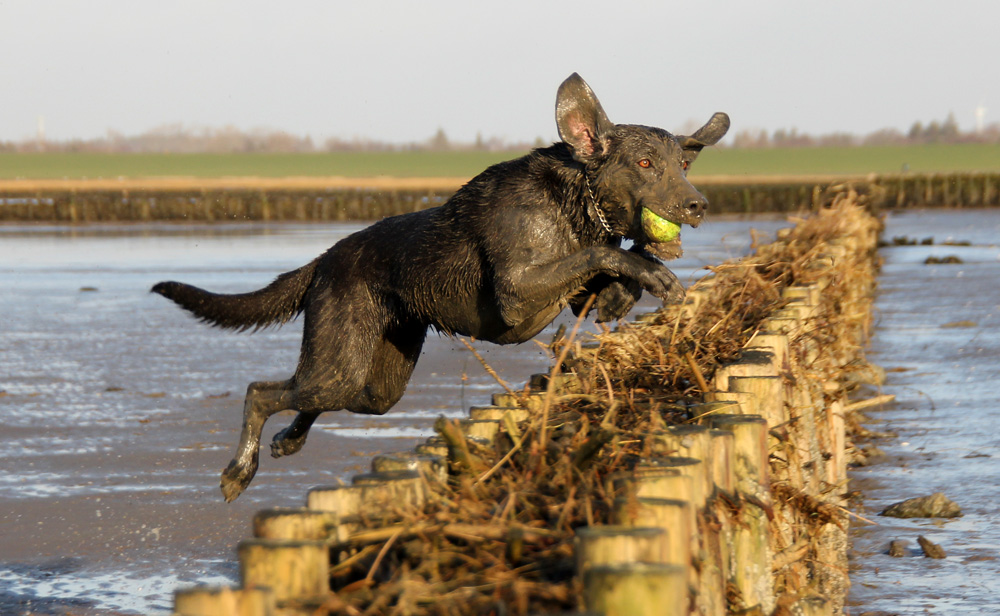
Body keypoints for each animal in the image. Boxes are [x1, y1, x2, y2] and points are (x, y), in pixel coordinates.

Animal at [152, 76, 732, 500]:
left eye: (683, 163)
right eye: (644, 164)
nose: (699, 204)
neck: (577, 200)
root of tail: (324, 260)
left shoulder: (565, 290)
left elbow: (614, 265)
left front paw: (631, 285)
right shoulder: (518, 293)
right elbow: (604, 253)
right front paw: (651, 273)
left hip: (375, 387)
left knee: (304, 396)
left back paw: (288, 440)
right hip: (340, 364)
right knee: (261, 392)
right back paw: (239, 470)